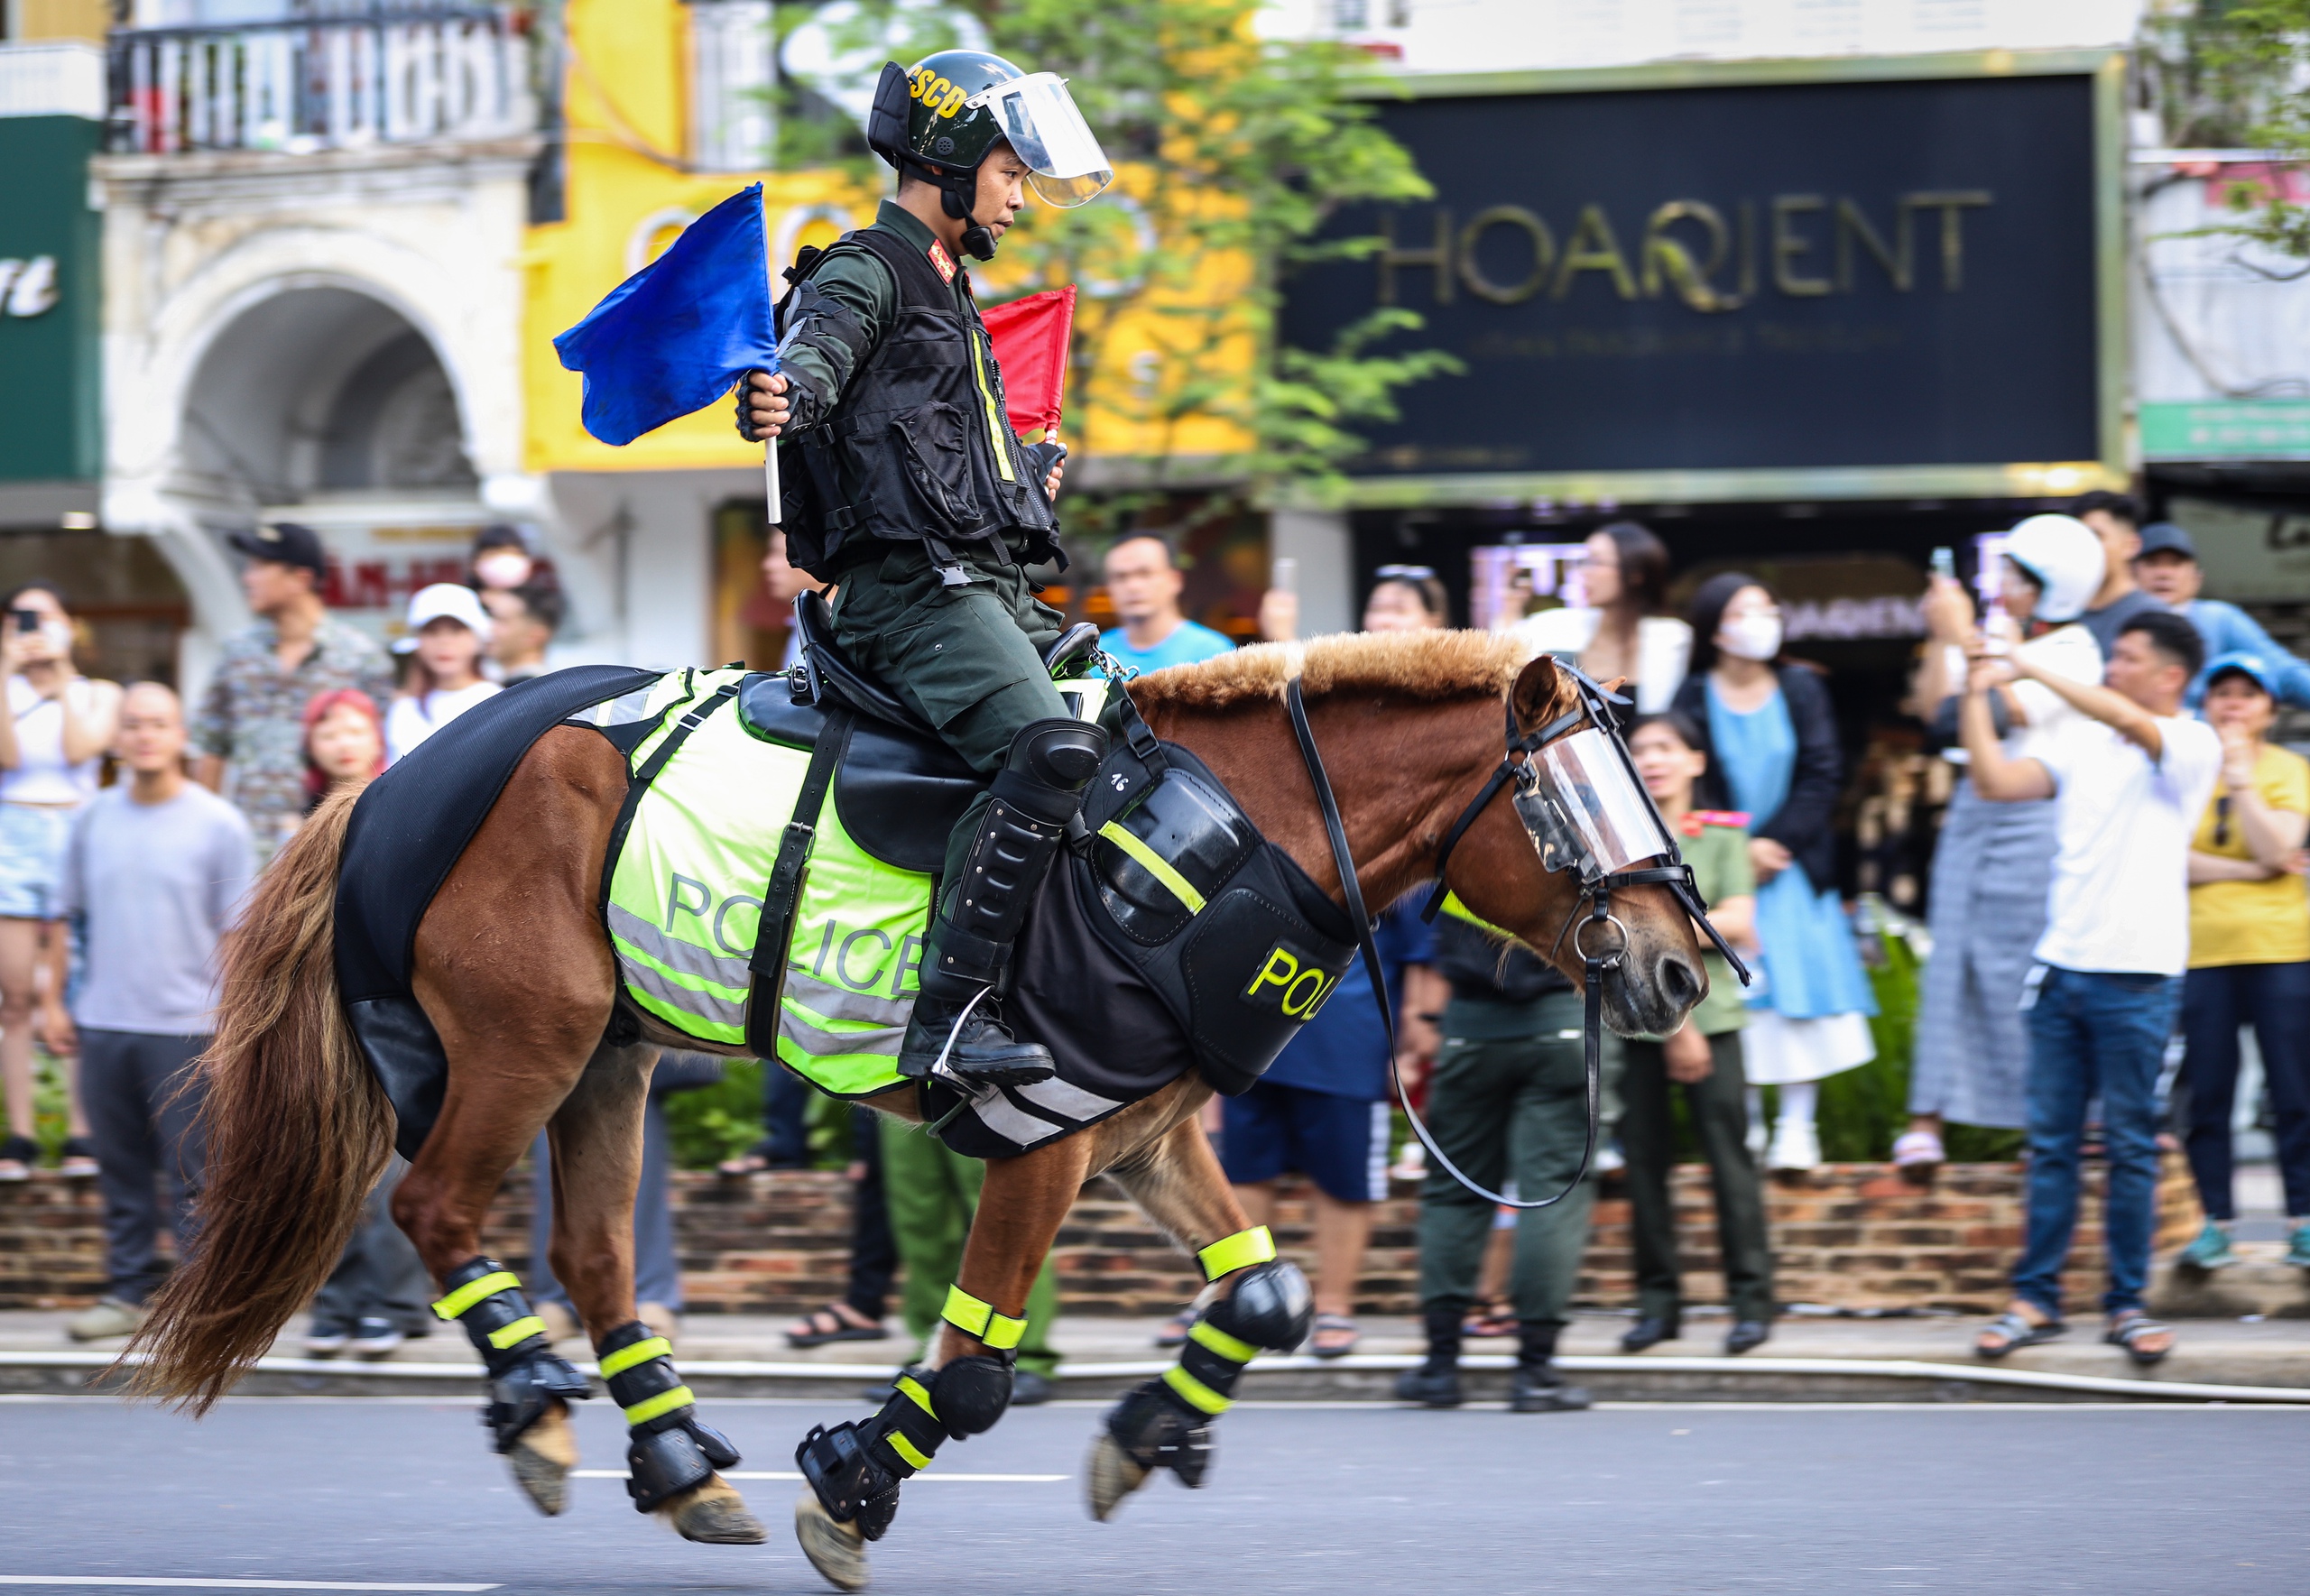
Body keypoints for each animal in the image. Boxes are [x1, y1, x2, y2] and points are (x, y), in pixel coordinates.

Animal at [116, 632, 1709, 1589]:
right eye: (1566, 801)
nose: (1682, 966)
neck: (1228, 836)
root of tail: (391, 770)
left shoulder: (1141, 1129)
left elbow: (1262, 1297)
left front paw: (1149, 1432)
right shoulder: (1045, 1139)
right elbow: (982, 1368)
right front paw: (850, 1481)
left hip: (615, 1055)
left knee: (591, 1254)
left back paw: (677, 1459)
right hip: (525, 1041)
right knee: (438, 1206)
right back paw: (541, 1419)